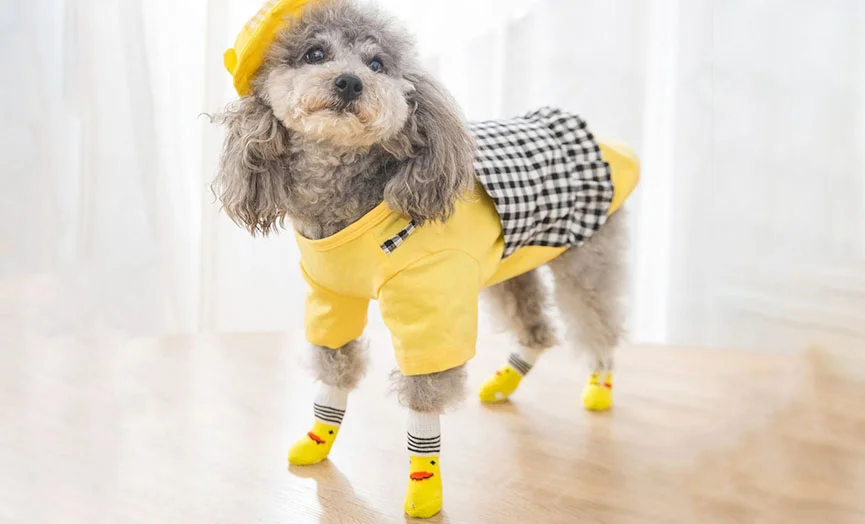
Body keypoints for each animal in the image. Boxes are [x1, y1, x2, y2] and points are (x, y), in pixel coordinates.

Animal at [213, 0, 636, 516]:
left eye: (377, 65)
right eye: (314, 53)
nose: (349, 82)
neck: (349, 198)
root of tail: (603, 139)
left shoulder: (429, 301)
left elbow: (425, 394)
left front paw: (424, 487)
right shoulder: (331, 298)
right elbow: (335, 367)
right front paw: (318, 441)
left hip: (587, 256)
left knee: (598, 324)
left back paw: (599, 386)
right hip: (510, 267)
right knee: (539, 330)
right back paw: (502, 384)